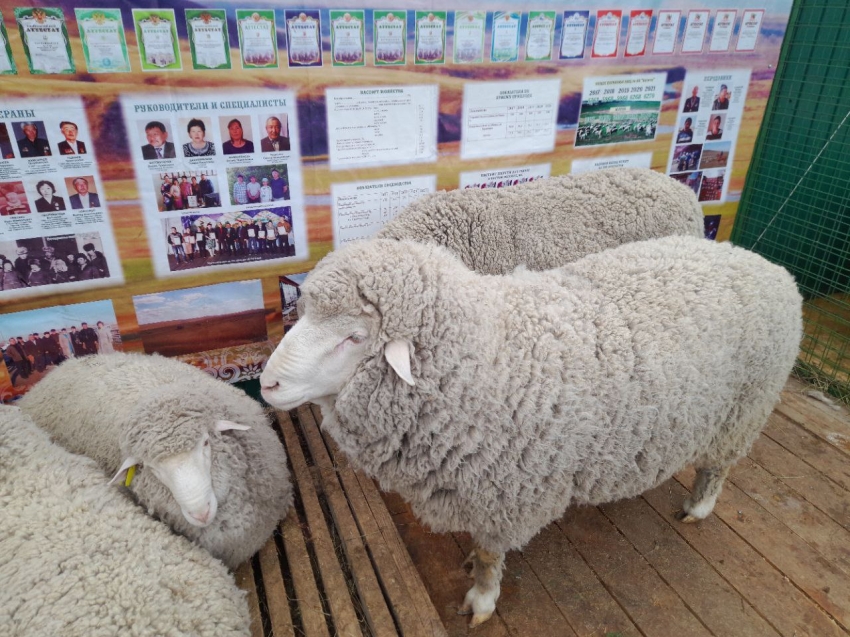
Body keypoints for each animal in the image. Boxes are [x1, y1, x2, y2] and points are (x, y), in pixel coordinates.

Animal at [258, 235, 800, 628]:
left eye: (353, 338)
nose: (266, 383)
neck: (486, 356)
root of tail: (770, 266)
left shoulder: (505, 494)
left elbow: (489, 554)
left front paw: (481, 599)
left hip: (744, 408)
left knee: (718, 467)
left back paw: (698, 507)